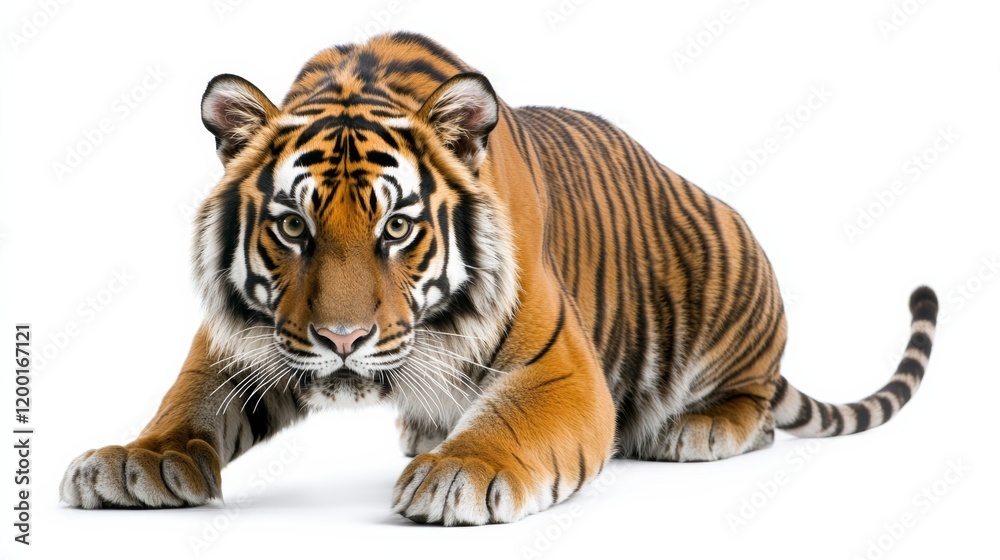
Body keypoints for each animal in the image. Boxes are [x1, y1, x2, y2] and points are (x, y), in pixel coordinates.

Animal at [59, 32, 938, 525]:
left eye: (397, 229)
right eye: (293, 228)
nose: (342, 340)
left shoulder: (560, 366)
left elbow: (509, 423)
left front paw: (461, 471)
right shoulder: (247, 339)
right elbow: (187, 401)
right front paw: (134, 461)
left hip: (733, 272)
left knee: (756, 407)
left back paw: (698, 428)